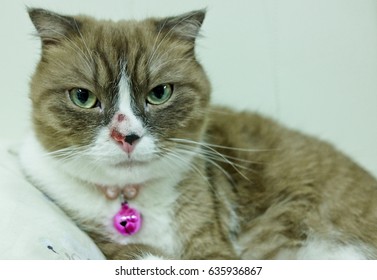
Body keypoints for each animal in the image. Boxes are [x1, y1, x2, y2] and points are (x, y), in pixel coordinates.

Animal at [18, 7, 377, 260]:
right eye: (83, 97)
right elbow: (135, 253)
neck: (131, 200)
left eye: (160, 93)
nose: (127, 136)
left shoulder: (213, 247)